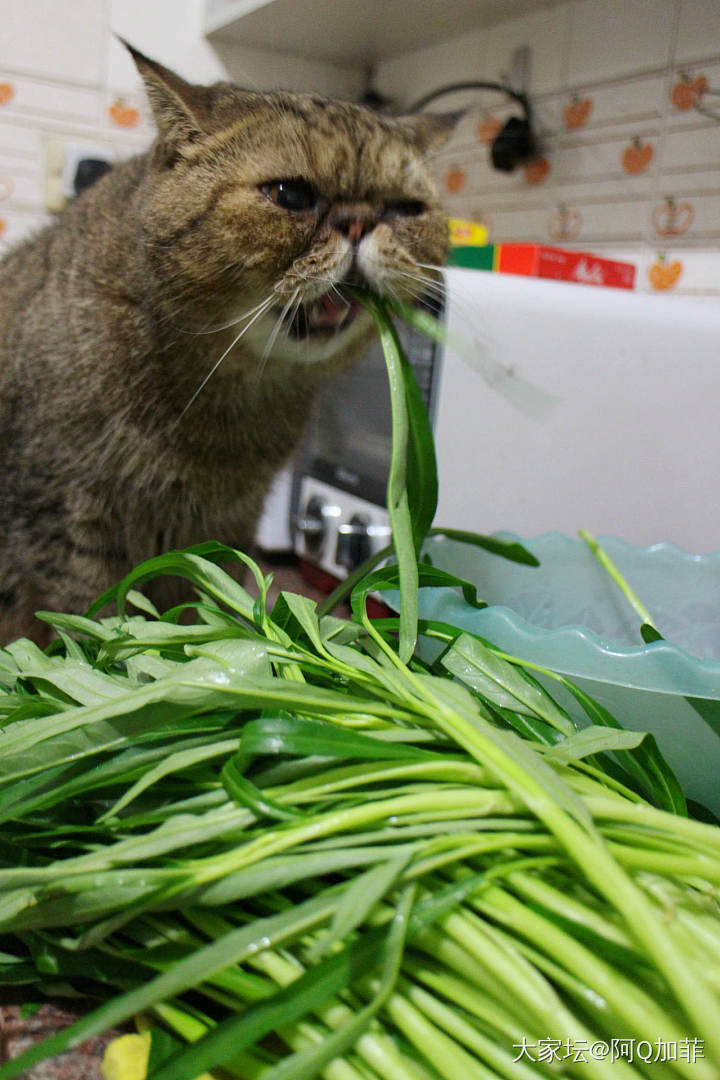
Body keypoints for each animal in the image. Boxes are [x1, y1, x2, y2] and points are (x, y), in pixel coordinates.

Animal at [0, 44, 453, 639]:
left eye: (405, 209)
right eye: (290, 194)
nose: (359, 223)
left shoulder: (227, 528)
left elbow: (209, 602)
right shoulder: (64, 524)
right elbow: (83, 620)